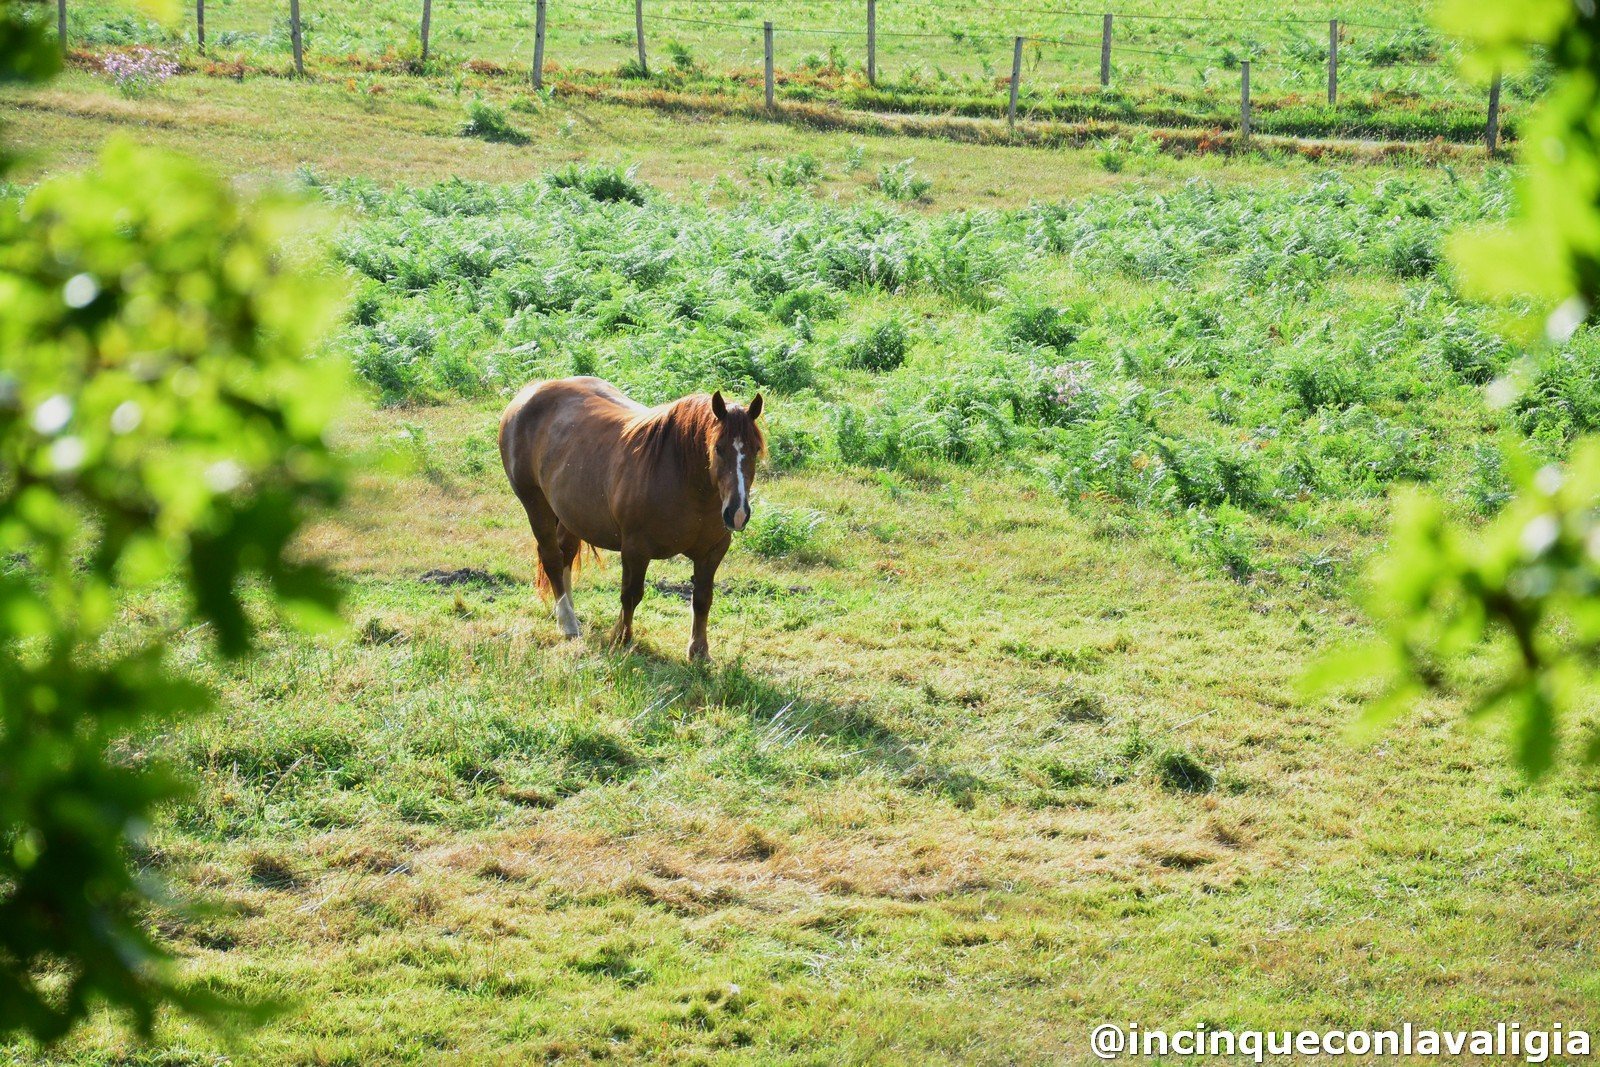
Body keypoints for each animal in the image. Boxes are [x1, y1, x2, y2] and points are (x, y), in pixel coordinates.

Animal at [498, 376, 765, 661]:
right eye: (718, 448)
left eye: (755, 449)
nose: (737, 513)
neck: (683, 479)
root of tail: (530, 392)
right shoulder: (635, 549)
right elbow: (631, 595)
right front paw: (621, 638)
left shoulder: (713, 551)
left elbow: (703, 598)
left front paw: (699, 651)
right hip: (535, 504)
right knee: (551, 557)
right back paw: (568, 624)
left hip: (570, 513)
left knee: (565, 554)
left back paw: (566, 614)